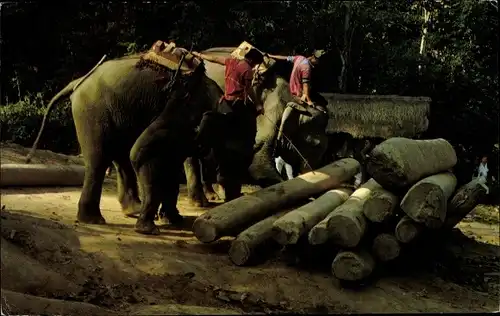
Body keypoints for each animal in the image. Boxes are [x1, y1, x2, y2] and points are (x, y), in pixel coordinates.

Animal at [26, 43, 264, 235]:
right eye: (234, 154)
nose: (234, 198)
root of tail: (78, 81)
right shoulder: (179, 111)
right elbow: (142, 153)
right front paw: (150, 228)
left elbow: (171, 164)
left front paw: (173, 219)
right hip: (92, 111)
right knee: (101, 159)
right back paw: (94, 219)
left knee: (119, 155)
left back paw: (132, 209)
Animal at [184, 47, 332, 205]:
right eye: (316, 145)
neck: (293, 99)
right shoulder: (268, 116)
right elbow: (258, 168)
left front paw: (234, 196)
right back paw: (200, 202)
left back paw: (212, 196)